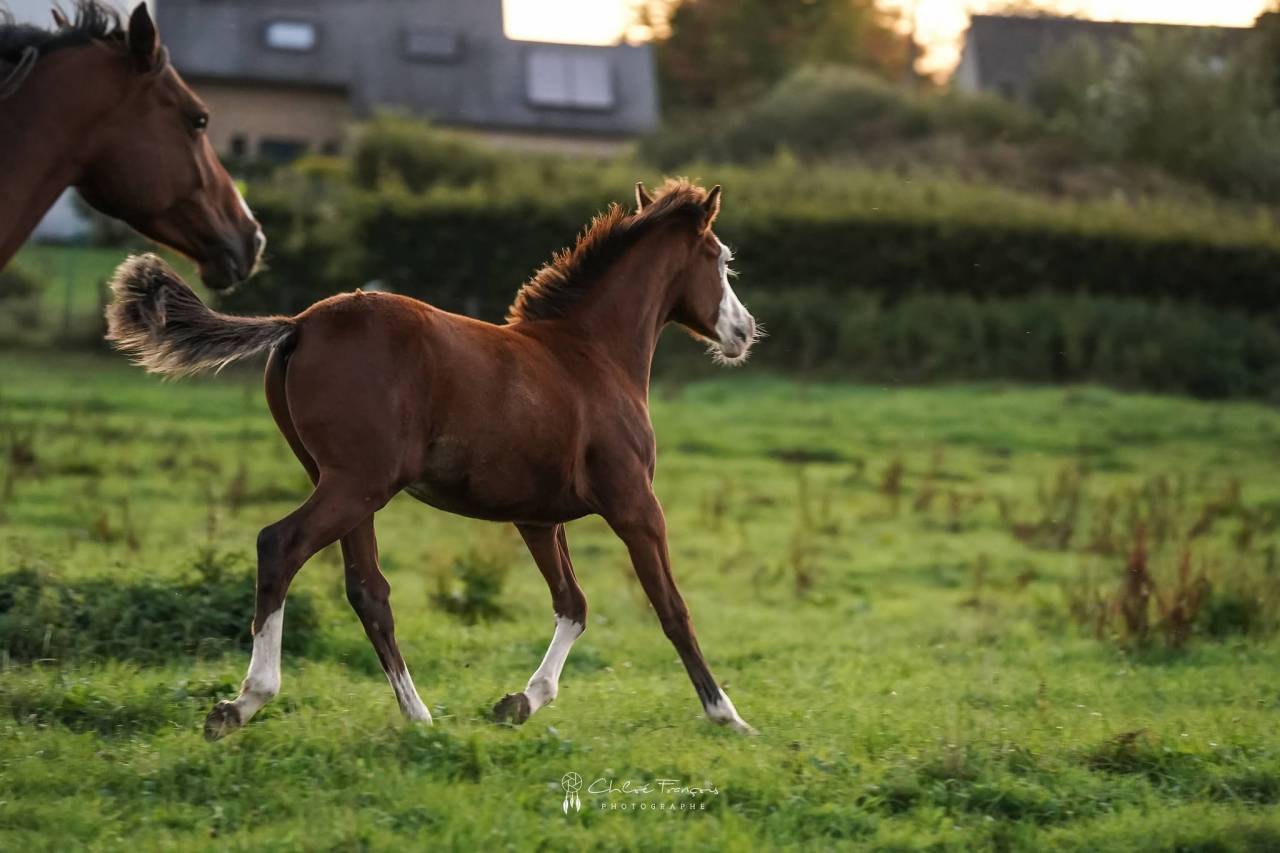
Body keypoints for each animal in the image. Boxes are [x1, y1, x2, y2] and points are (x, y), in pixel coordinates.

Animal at [105, 179, 762, 739]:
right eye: (722, 258)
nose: (746, 332)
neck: (591, 356)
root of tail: (298, 326)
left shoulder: (537, 518)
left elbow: (572, 605)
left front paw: (519, 703)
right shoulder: (634, 505)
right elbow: (671, 608)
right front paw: (727, 715)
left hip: (343, 485)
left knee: (368, 589)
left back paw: (417, 715)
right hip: (357, 484)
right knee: (280, 545)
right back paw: (244, 702)